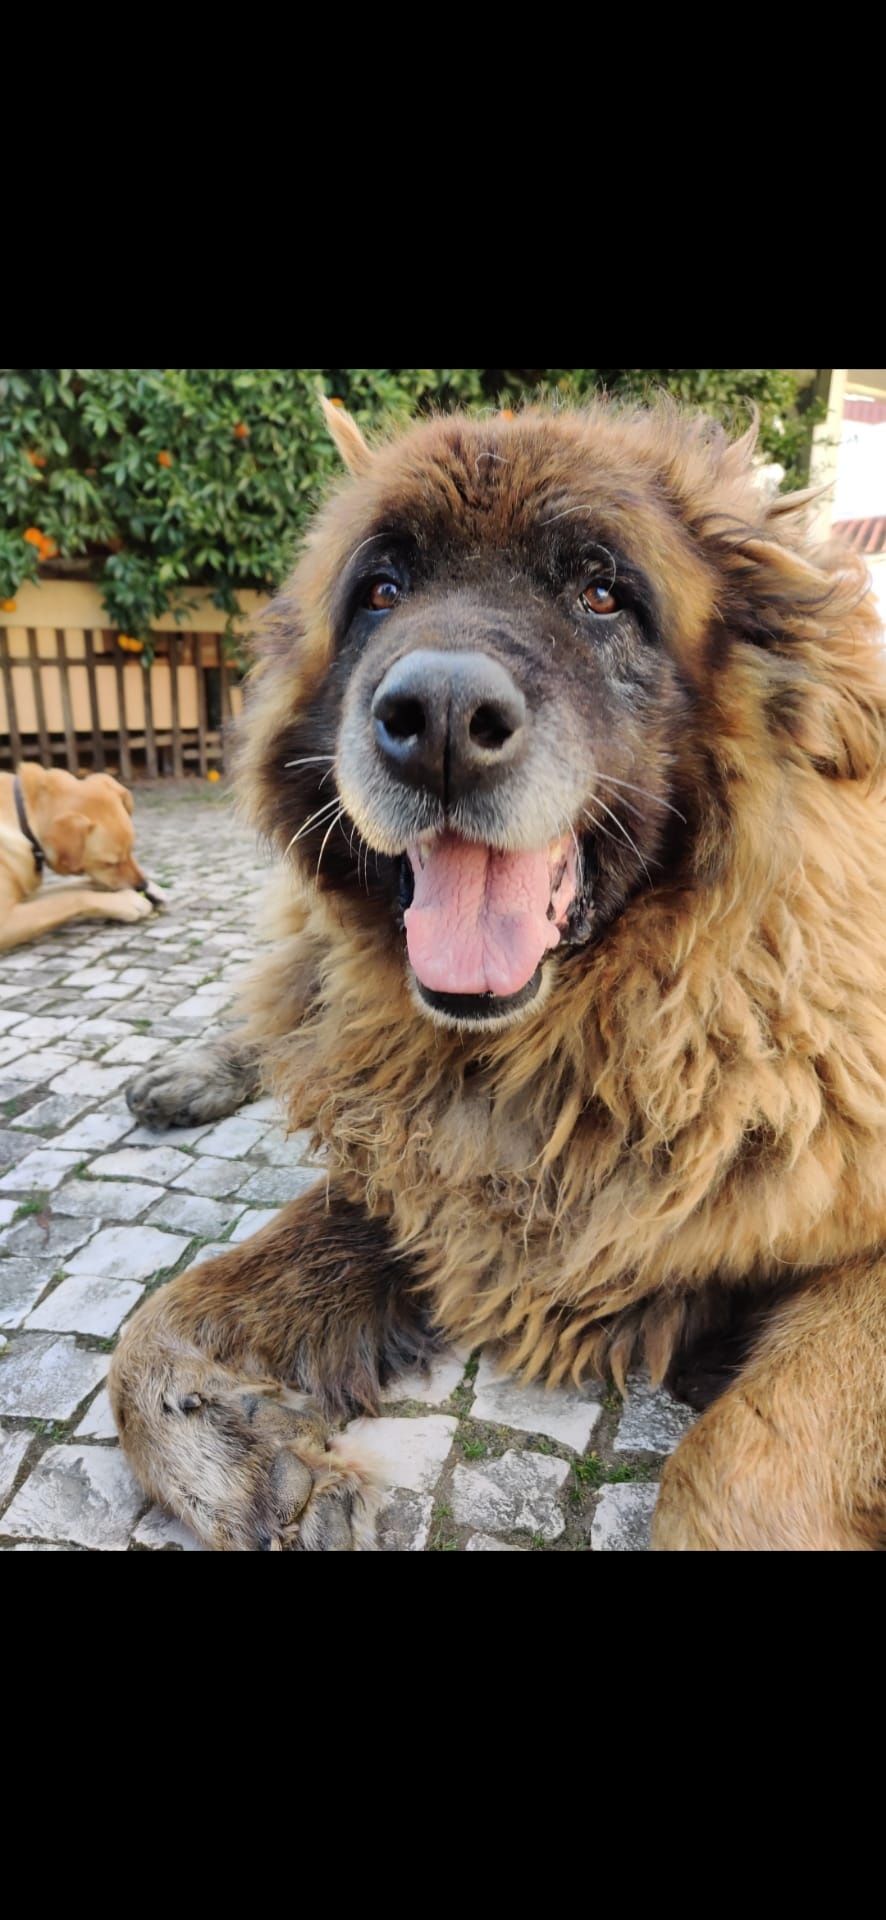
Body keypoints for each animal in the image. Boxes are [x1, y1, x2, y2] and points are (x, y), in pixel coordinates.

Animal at [0, 760, 156, 948]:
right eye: (110, 863)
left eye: (131, 849)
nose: (143, 886)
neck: (22, 820)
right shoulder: (5, 919)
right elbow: (73, 897)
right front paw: (126, 901)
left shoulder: (28, 897)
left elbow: (75, 887)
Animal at [112, 397, 884, 1551]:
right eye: (380, 590)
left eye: (602, 592)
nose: (437, 718)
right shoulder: (407, 1172)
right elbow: (150, 1329)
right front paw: (259, 1469)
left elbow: (732, 1467)